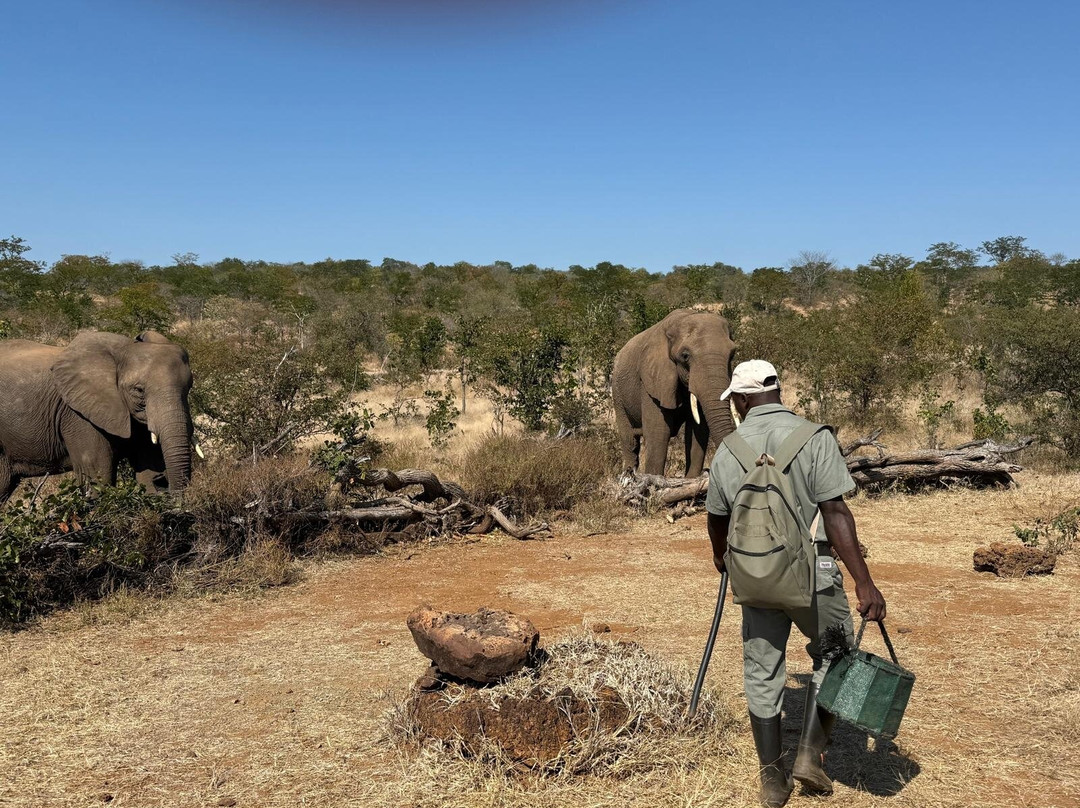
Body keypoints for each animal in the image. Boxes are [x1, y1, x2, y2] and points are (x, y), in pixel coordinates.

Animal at [0, 330, 200, 504]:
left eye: (189, 387)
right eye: (138, 390)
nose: (162, 482)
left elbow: (148, 468)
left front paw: (154, 482)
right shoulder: (77, 414)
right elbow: (98, 474)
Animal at [611, 308, 737, 477]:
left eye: (732, 354)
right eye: (685, 356)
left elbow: (697, 431)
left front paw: (691, 479)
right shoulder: (650, 381)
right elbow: (659, 432)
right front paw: (654, 480)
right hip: (617, 393)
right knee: (630, 441)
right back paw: (628, 475)